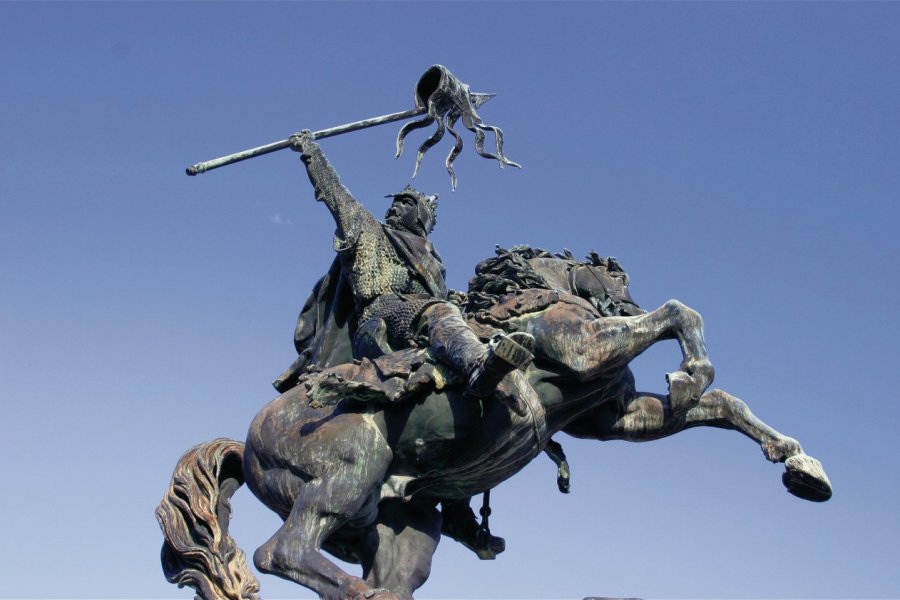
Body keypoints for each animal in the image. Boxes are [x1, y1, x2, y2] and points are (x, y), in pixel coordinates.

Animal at [155, 245, 828, 600]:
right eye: (613, 275)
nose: (621, 301)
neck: (534, 300)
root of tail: (248, 441)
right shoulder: (587, 349)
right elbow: (679, 313)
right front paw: (692, 371)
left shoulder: (613, 417)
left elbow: (723, 406)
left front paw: (801, 464)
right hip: (343, 478)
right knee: (282, 550)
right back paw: (355, 591)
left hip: (399, 529)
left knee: (380, 573)